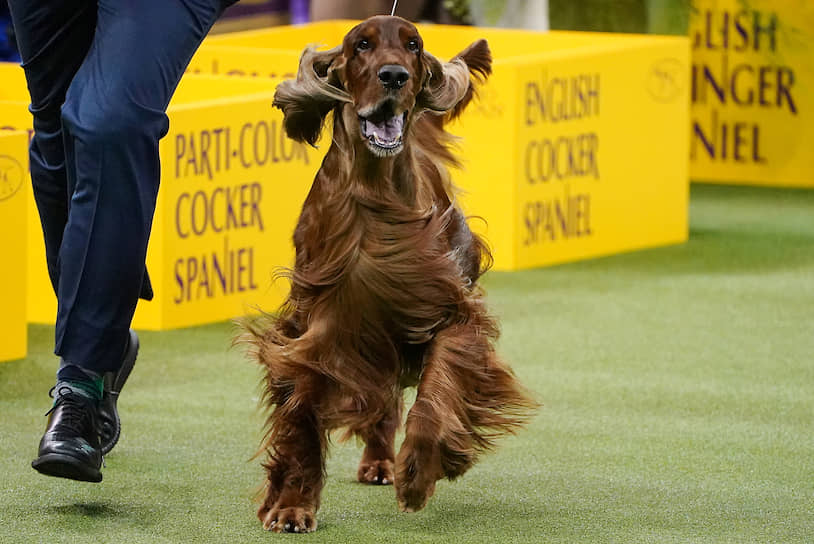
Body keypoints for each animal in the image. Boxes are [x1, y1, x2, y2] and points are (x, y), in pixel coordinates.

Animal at [244, 14, 536, 532]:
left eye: (414, 45)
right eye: (361, 45)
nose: (395, 76)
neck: (372, 193)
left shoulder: (447, 311)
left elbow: (438, 390)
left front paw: (419, 471)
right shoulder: (315, 328)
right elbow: (301, 412)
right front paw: (292, 505)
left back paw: (388, 463)